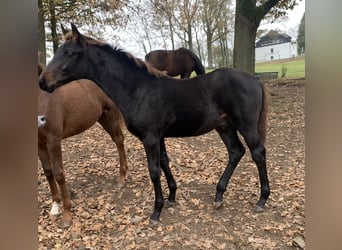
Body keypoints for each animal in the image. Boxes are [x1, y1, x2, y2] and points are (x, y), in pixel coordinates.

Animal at [37, 63, 128, 228]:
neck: (42, 98)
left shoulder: (54, 141)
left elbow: (59, 173)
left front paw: (67, 215)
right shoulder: (40, 144)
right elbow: (48, 172)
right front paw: (54, 207)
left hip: (111, 114)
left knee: (119, 140)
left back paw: (122, 179)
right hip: (102, 117)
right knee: (118, 139)